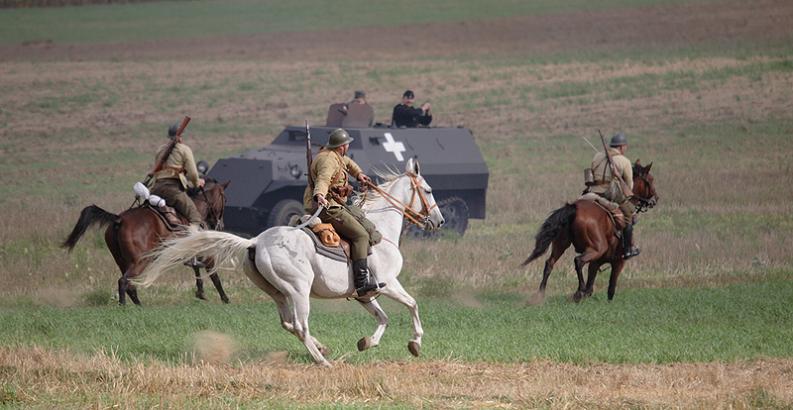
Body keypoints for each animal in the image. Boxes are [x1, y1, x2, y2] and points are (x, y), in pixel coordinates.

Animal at [61, 179, 229, 304]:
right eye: (224, 199)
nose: (221, 225)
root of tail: (119, 219)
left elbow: (196, 269)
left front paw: (200, 292)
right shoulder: (206, 254)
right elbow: (214, 275)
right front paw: (225, 298)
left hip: (122, 261)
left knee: (129, 285)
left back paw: (138, 306)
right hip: (140, 261)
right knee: (123, 282)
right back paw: (124, 307)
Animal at [136, 159, 446, 366]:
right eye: (429, 190)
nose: (439, 221)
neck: (381, 229)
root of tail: (255, 242)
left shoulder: (364, 294)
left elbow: (383, 318)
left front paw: (367, 342)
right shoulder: (388, 283)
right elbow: (412, 305)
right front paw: (415, 343)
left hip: (278, 292)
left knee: (289, 324)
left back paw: (322, 349)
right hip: (299, 291)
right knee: (301, 325)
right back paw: (323, 361)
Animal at [520, 160, 656, 302]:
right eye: (650, 180)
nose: (655, 199)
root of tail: (574, 208)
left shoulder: (596, 262)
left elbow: (591, 285)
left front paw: (582, 295)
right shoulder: (618, 261)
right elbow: (610, 288)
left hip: (562, 244)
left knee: (550, 263)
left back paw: (541, 294)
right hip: (596, 249)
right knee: (578, 261)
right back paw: (579, 289)